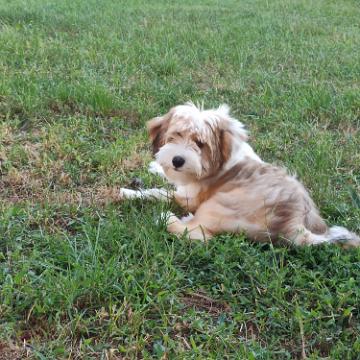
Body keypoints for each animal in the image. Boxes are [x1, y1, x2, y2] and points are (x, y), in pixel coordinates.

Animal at [121, 102, 360, 246]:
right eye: (175, 135)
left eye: (200, 144)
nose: (178, 160)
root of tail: (294, 223)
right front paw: (156, 165)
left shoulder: (190, 196)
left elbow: (160, 193)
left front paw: (129, 193)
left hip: (219, 205)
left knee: (200, 234)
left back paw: (168, 219)